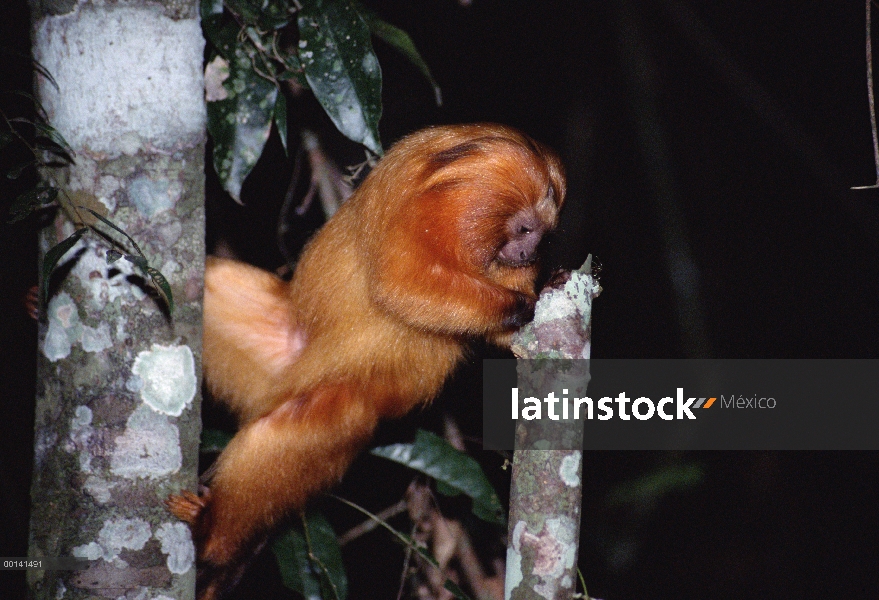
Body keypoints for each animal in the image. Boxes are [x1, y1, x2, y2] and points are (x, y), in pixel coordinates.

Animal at [168, 123, 568, 600]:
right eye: (525, 228)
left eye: (542, 237)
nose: (529, 254)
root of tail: (295, 372)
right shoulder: (419, 213)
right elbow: (399, 283)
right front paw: (526, 304)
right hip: (282, 356)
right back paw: (213, 538)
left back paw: (219, 543)